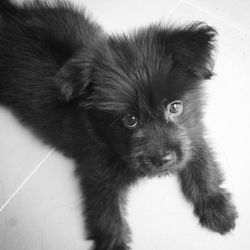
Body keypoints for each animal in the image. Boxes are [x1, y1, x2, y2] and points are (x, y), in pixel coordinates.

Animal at [0, 0, 237, 250]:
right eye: (130, 120)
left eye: (175, 107)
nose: (164, 160)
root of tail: (11, 15)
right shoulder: (96, 170)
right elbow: (106, 214)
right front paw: (114, 243)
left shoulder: (192, 135)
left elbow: (204, 167)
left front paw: (217, 207)